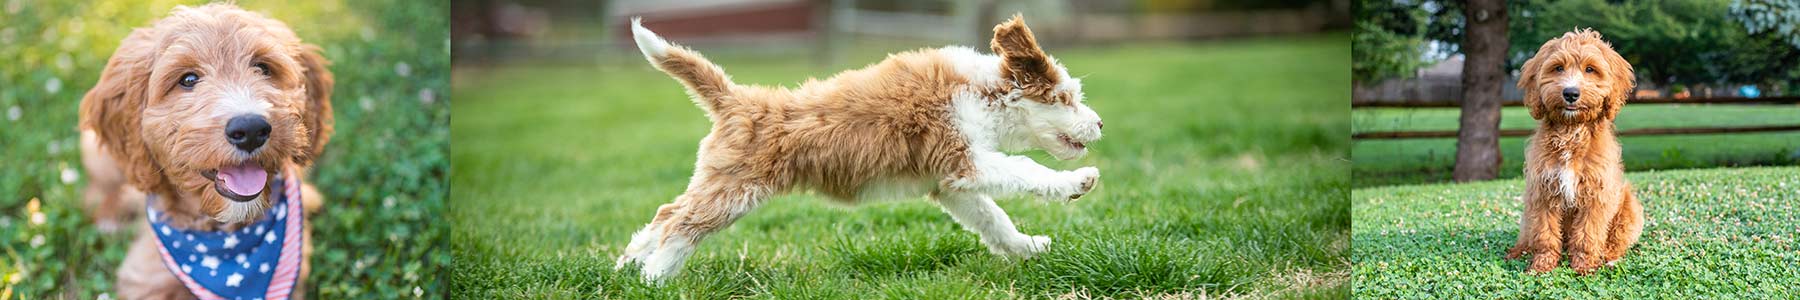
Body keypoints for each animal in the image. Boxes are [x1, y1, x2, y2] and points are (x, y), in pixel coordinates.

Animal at [612, 15, 1101, 283]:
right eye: (1067, 98)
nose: (1098, 123)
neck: (985, 92)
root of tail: (739, 99)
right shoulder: (964, 158)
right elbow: (1024, 169)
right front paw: (1077, 182)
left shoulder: (951, 182)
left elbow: (992, 219)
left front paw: (1028, 246)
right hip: (735, 189)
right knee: (681, 225)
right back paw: (653, 280)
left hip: (719, 181)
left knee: (666, 214)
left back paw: (628, 268)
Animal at [1504, 29, 1648, 274]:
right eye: (1558, 68)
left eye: (1590, 69)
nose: (1570, 93)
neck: (1571, 131)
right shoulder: (1542, 192)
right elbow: (1545, 233)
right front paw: (1542, 264)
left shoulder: (1597, 194)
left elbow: (1587, 235)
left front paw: (1584, 265)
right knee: (1527, 234)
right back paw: (1518, 251)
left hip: (1629, 208)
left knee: (1616, 243)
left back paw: (1609, 259)